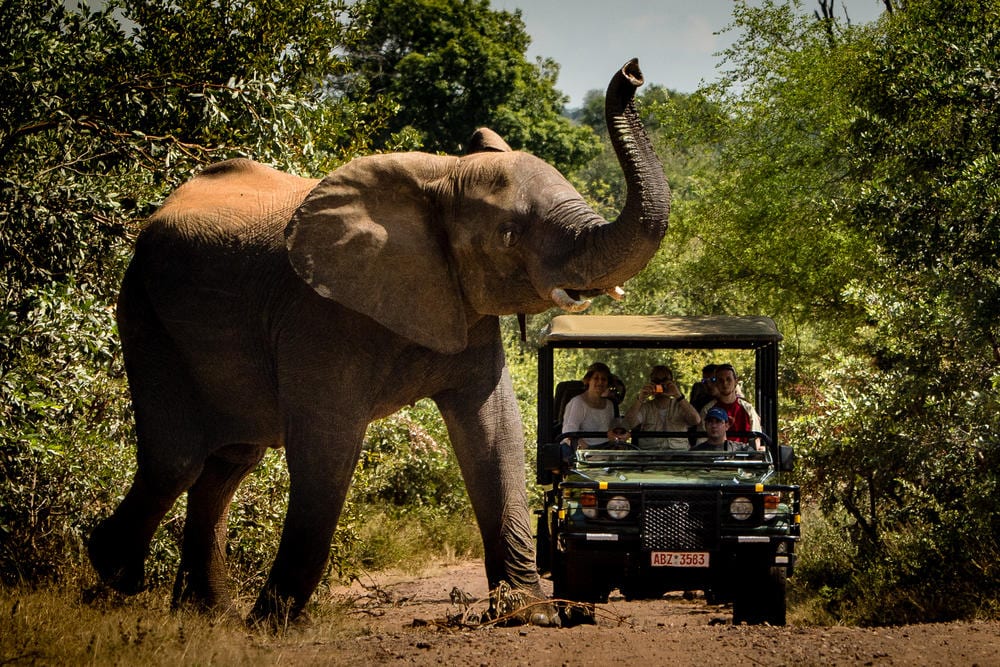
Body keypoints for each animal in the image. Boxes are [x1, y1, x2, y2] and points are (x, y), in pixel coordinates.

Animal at [90, 57, 672, 628]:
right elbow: (326, 451)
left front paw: (529, 614)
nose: (632, 71)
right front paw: (272, 624)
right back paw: (118, 574)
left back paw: (205, 611)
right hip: (143, 313)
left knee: (229, 461)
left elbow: (495, 434)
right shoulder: (319, 316)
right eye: (508, 236)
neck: (442, 176)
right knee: (178, 459)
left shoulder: (466, 311)